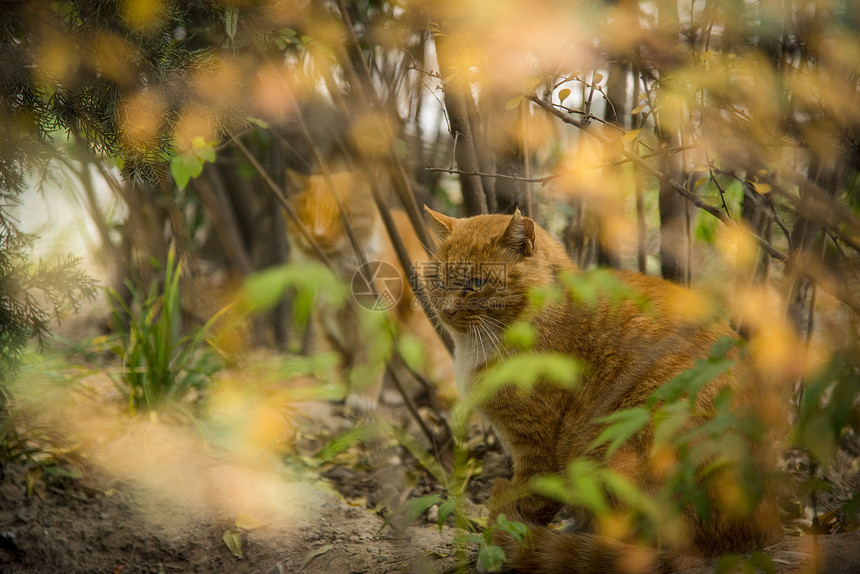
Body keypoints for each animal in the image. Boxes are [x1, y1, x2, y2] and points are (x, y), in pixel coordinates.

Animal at [284, 171, 454, 410]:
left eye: (340, 217)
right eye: (306, 217)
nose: (318, 235)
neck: (335, 271)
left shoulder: (374, 325)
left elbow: (369, 366)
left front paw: (362, 398)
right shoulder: (324, 323)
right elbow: (335, 361)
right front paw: (336, 390)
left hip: (422, 339)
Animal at [420, 209, 784, 572]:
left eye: (476, 284)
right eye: (439, 280)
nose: (447, 309)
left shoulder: (538, 447)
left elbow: (528, 505)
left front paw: (499, 550)